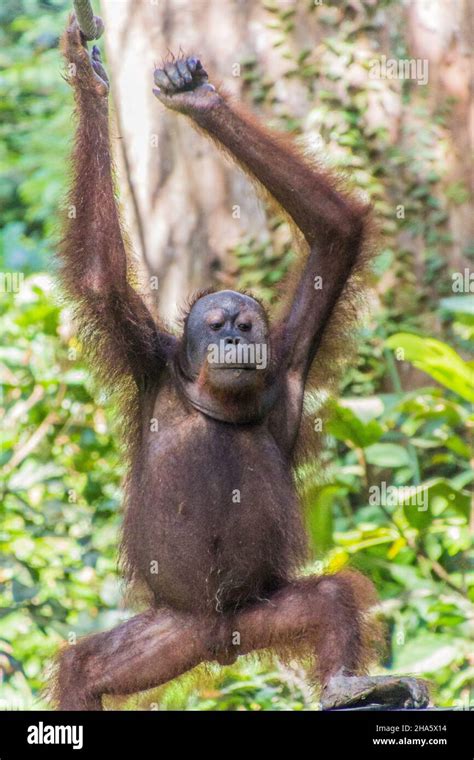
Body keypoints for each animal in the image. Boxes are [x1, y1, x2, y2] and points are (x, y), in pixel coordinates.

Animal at [53, 15, 429, 711]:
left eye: (247, 326)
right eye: (216, 326)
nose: (234, 342)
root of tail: (217, 640)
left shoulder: (291, 358)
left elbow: (336, 232)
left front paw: (197, 98)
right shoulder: (146, 354)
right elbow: (97, 273)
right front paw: (88, 76)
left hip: (260, 612)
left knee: (328, 596)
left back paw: (348, 684)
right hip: (169, 631)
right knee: (83, 670)